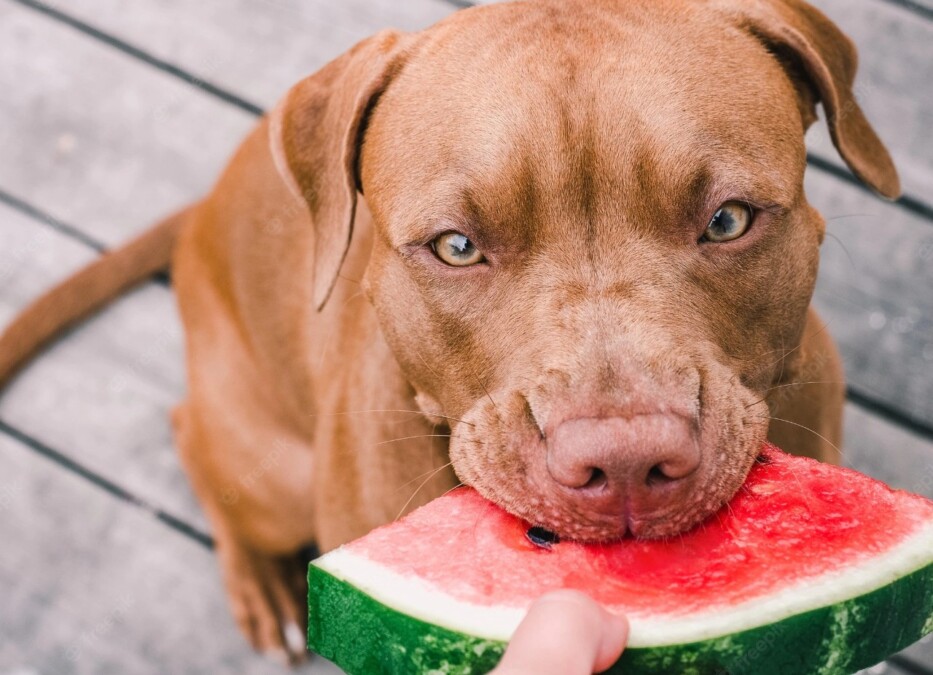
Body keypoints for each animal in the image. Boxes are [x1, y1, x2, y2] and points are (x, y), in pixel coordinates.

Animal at [1, 0, 904, 664]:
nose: (624, 461)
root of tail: (198, 216)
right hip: (269, 470)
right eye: (457, 246)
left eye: (727, 220)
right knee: (189, 431)